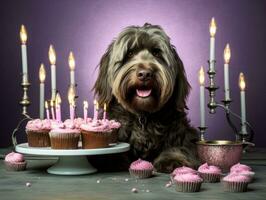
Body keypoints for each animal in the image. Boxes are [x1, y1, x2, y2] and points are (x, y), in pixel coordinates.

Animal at [93, 23, 200, 173]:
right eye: (130, 53)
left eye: (156, 53)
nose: (145, 74)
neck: (143, 115)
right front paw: (112, 159)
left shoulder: (184, 133)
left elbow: (181, 146)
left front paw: (172, 158)